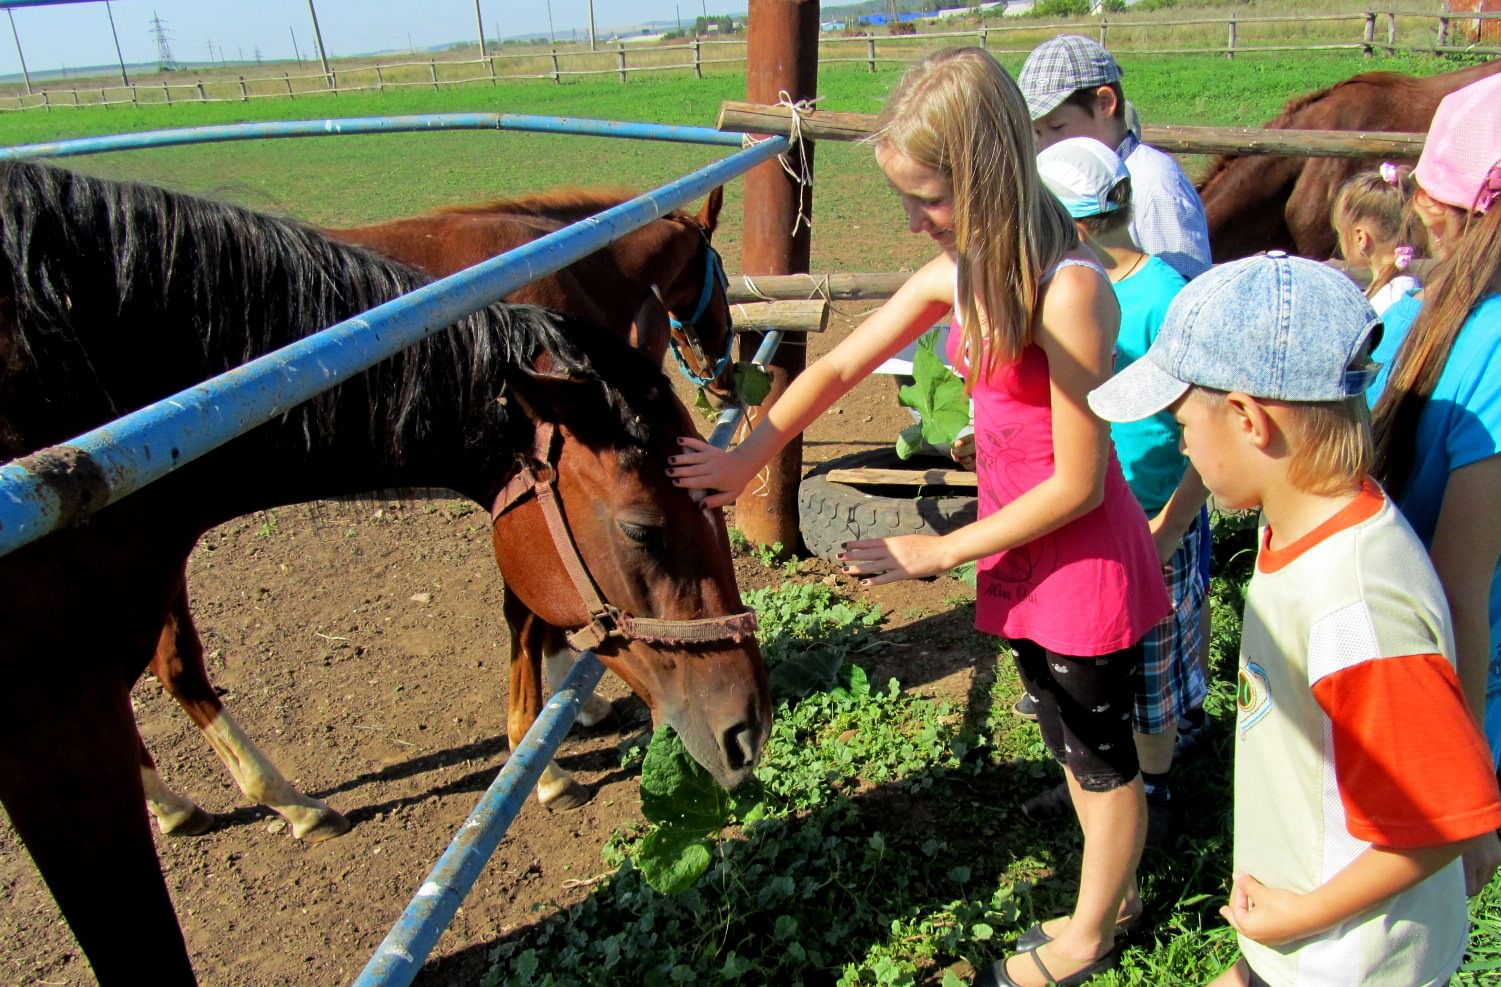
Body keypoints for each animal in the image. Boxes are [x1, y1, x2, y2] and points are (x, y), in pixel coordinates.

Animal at [0, 159, 768, 978]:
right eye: (641, 528)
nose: (747, 729)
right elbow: (524, 619)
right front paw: (547, 763)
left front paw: (573, 706)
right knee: (179, 668)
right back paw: (280, 800)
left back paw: (191, 800)